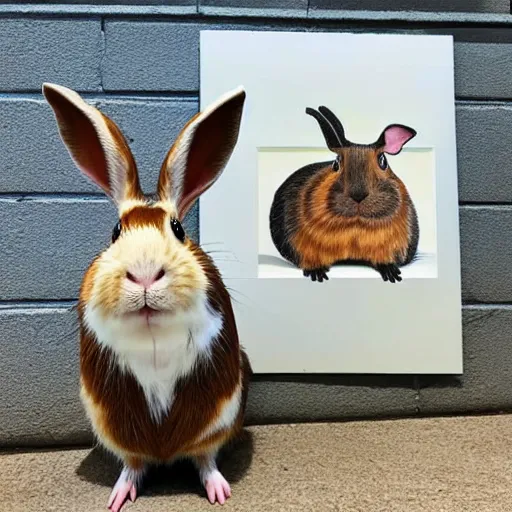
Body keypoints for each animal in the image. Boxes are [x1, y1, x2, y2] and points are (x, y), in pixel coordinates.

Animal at [43, 82, 251, 510]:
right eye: (115, 231)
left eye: (178, 228)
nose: (143, 275)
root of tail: (165, 453)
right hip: (117, 433)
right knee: (134, 463)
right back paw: (119, 494)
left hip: (217, 422)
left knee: (204, 457)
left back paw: (218, 491)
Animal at [270, 106, 418, 284]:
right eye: (336, 163)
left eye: (383, 161)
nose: (358, 195)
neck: (355, 225)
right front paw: (317, 274)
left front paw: (392, 274)